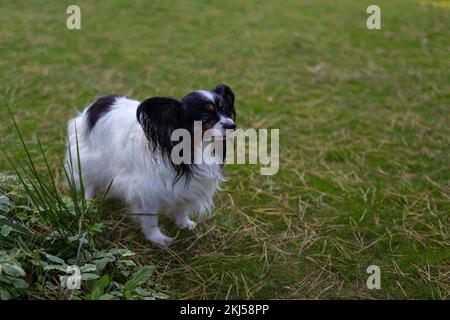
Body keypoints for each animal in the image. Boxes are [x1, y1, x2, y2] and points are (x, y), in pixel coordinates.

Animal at [65, 84, 237, 246]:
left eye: (223, 109)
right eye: (205, 114)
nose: (233, 125)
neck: (194, 148)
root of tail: (98, 102)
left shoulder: (186, 185)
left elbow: (181, 207)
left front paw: (183, 223)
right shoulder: (146, 189)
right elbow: (150, 219)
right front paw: (156, 238)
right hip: (90, 159)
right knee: (88, 182)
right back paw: (87, 205)